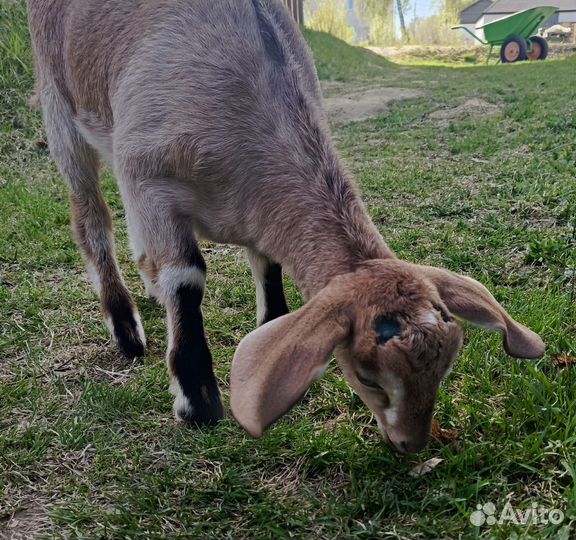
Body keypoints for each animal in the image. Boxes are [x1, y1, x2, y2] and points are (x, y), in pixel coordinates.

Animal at [28, 0, 544, 452]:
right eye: (367, 376)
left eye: (445, 368)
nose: (410, 444)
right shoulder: (147, 179)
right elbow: (186, 277)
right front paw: (198, 401)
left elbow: (267, 266)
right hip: (61, 107)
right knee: (92, 220)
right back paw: (127, 330)